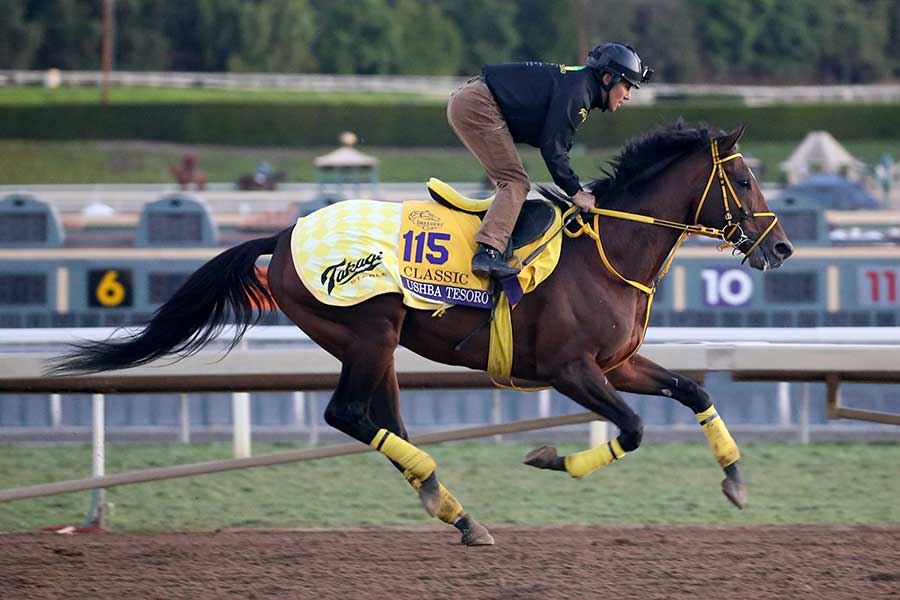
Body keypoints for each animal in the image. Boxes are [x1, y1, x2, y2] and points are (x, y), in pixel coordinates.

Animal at [51, 124, 796, 548]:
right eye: (742, 176)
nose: (781, 247)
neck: (605, 248)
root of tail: (283, 235)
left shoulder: (617, 363)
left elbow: (694, 389)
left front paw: (735, 481)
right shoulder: (569, 368)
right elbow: (635, 429)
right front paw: (549, 458)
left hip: (377, 347)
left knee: (384, 420)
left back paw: (453, 509)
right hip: (367, 332)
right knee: (348, 414)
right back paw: (450, 501)